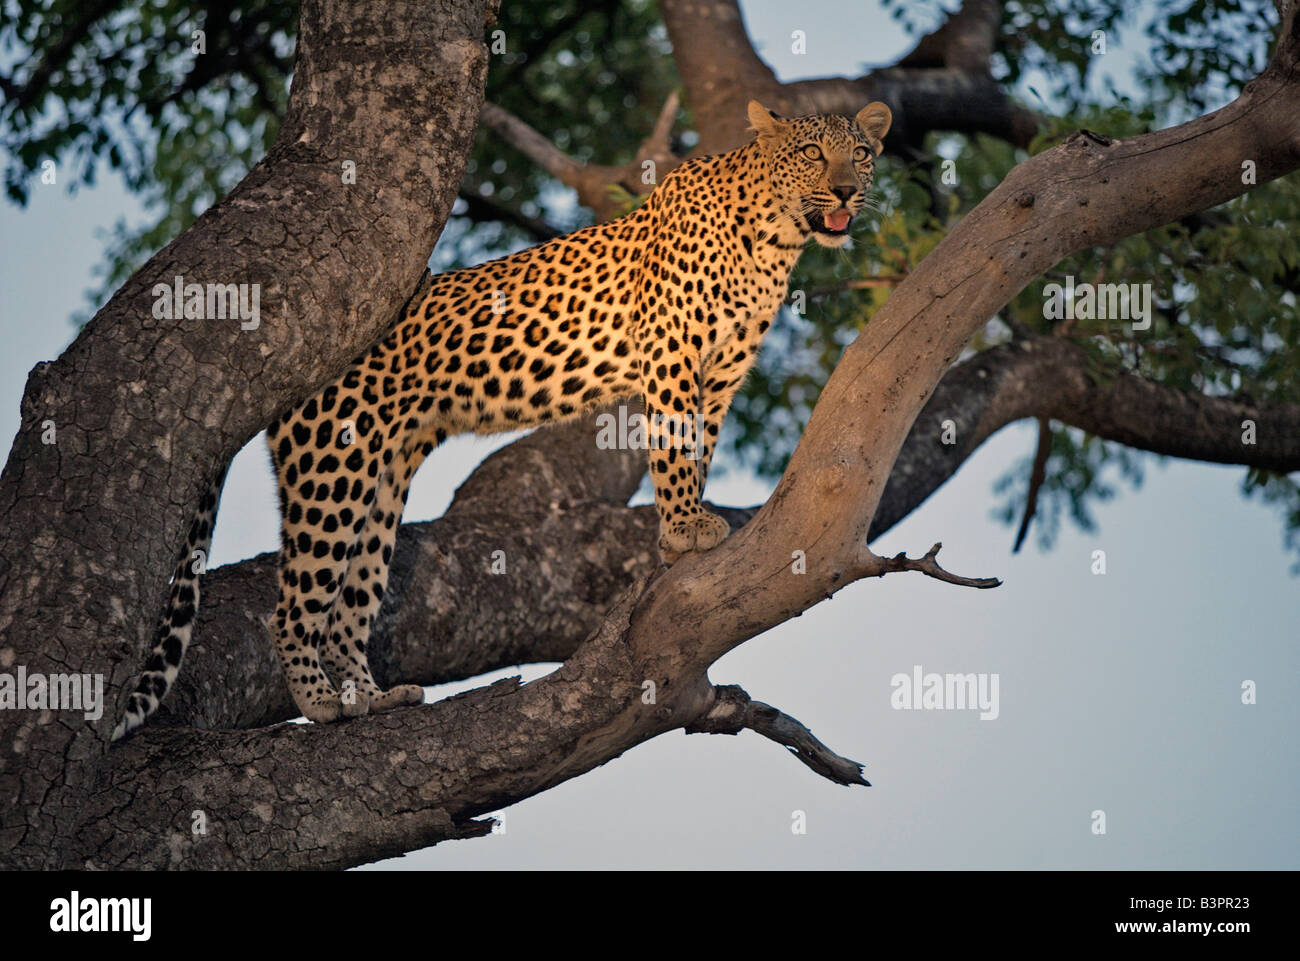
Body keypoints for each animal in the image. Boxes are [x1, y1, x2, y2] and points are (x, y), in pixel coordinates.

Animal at [111, 99, 889, 738]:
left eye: (861, 152)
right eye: (812, 152)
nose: (847, 190)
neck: (775, 237)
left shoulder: (722, 376)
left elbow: (699, 449)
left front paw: (689, 524)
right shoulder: (673, 355)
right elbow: (672, 449)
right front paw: (682, 530)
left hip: (378, 476)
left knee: (351, 597)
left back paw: (369, 697)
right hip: (330, 465)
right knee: (294, 600)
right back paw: (320, 700)